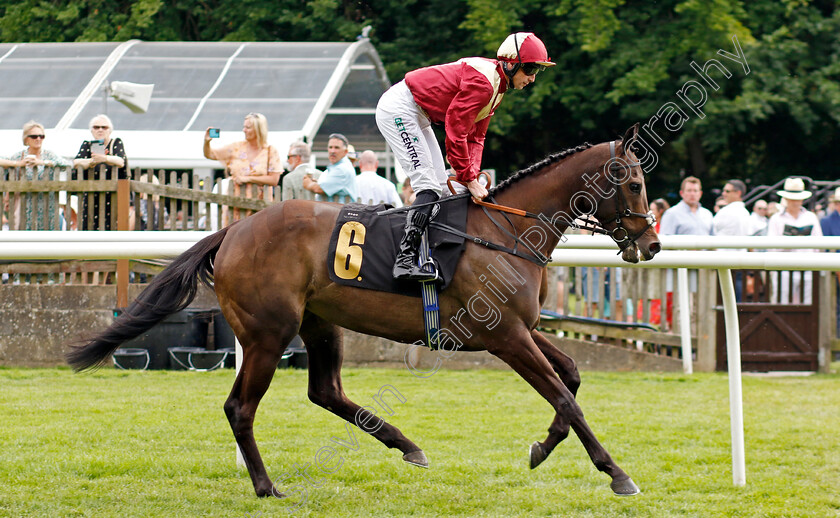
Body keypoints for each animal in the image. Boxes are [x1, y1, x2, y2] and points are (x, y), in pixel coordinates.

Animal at [67, 125, 656, 500]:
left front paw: (541, 448)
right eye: (633, 182)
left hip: (320, 322)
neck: (505, 231)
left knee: (325, 391)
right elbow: (565, 397)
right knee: (240, 408)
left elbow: (572, 376)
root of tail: (233, 230)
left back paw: (407, 446)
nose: (650, 245)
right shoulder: (505, 336)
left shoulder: (521, 328)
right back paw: (266, 486)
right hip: (267, 333)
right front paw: (617, 473)